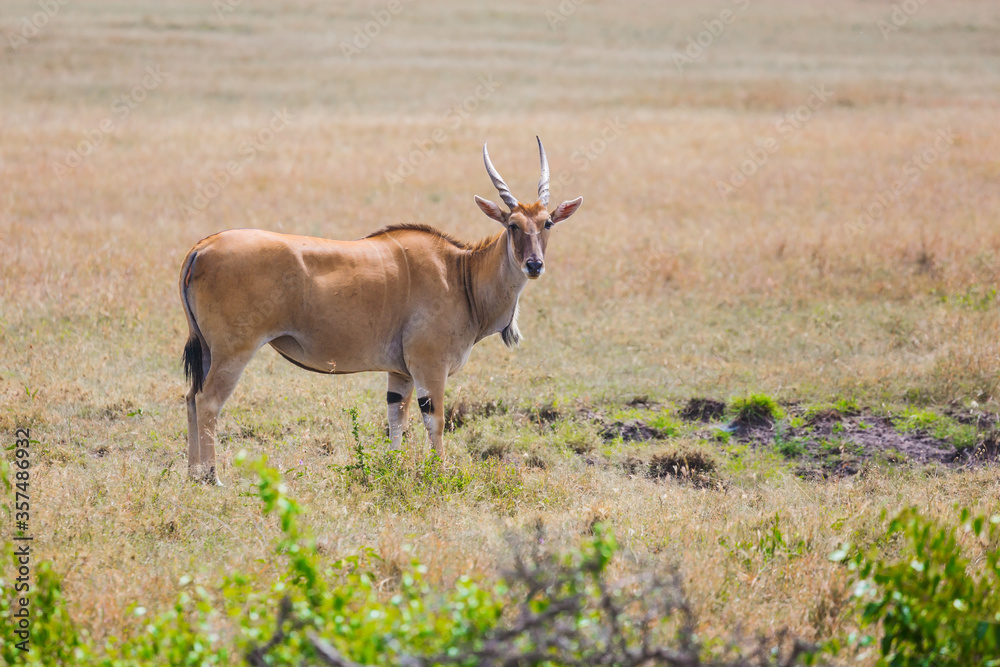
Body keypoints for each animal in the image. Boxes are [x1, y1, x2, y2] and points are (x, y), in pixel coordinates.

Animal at [180, 137, 583, 483]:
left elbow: (395, 421)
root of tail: (201, 248)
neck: (459, 271)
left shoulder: (400, 374)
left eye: (547, 223)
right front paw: (441, 474)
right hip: (234, 351)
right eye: (512, 225)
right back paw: (212, 477)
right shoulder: (429, 368)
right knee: (208, 401)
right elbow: (434, 421)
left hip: (209, 353)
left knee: (190, 399)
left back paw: (193, 476)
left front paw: (392, 469)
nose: (534, 265)